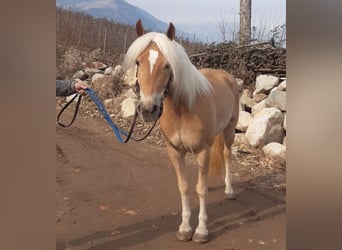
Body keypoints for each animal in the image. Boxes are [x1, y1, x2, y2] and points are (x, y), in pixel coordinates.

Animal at [123, 20, 240, 243]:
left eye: (167, 65)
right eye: (138, 62)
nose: (148, 110)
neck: (183, 109)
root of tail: (227, 76)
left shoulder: (202, 150)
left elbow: (200, 190)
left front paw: (201, 231)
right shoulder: (175, 151)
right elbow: (184, 186)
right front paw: (185, 228)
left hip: (229, 131)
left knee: (227, 155)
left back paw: (230, 190)